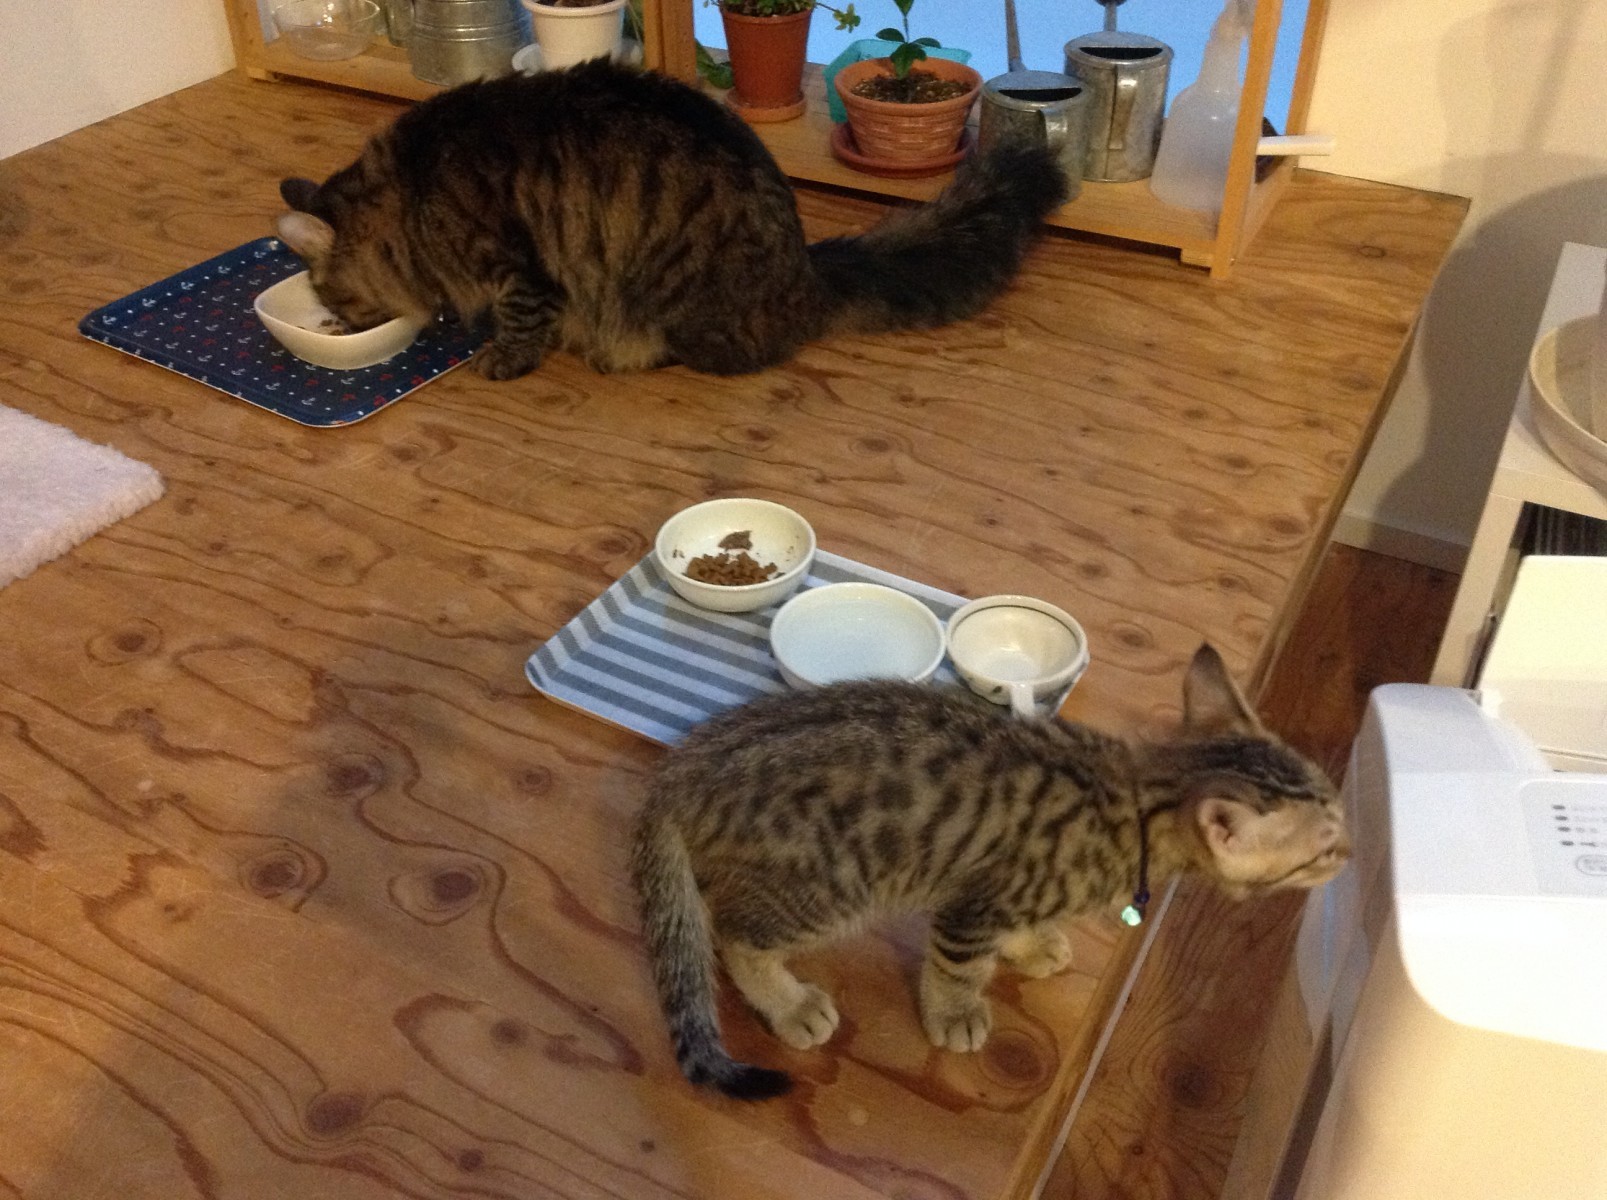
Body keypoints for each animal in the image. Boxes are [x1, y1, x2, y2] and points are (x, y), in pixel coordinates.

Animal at [272, 58, 1067, 381]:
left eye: (332, 297)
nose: (337, 321)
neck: (412, 190)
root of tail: (806, 271)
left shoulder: (519, 265)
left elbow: (520, 324)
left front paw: (499, 359)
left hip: (679, 305)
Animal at [630, 644, 1349, 1100]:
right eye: (1320, 851)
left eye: (1339, 810)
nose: (1349, 850)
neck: (1138, 797)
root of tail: (680, 770)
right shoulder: (973, 906)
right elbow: (959, 967)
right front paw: (955, 1013)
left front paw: (1034, 945)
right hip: (830, 885)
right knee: (733, 932)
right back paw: (787, 1003)